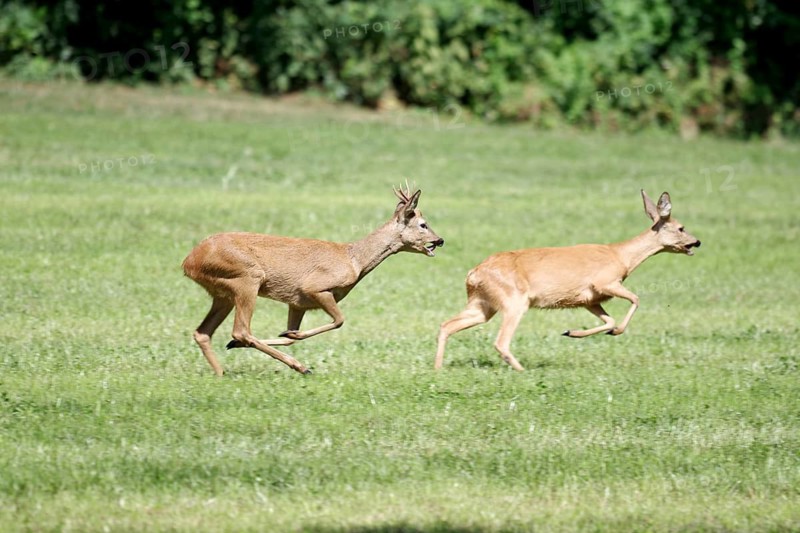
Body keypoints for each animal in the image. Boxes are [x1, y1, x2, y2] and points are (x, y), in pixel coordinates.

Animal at [183, 185, 444, 376]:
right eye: (423, 224)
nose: (440, 240)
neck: (353, 260)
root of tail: (189, 261)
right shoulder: (315, 288)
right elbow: (339, 320)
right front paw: (293, 339)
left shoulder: (297, 303)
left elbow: (290, 334)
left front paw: (288, 334)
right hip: (247, 278)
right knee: (241, 330)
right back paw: (300, 367)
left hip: (223, 293)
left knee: (203, 332)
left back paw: (221, 372)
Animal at [434, 190, 701, 371]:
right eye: (681, 227)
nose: (697, 242)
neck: (621, 257)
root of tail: (473, 273)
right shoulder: (605, 282)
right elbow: (636, 299)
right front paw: (614, 332)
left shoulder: (589, 299)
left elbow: (609, 319)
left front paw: (573, 332)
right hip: (513, 300)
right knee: (500, 341)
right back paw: (522, 370)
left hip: (483, 303)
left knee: (447, 324)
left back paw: (438, 367)